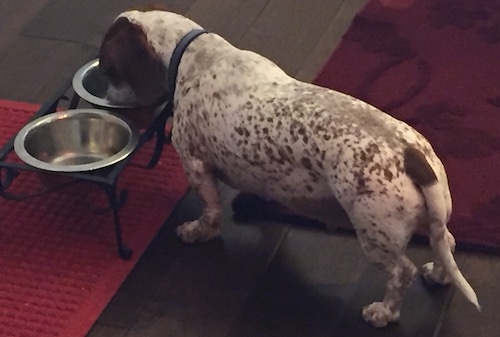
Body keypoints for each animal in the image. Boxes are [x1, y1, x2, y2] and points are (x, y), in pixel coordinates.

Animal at [98, 9, 480, 326]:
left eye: (107, 69)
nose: (108, 99)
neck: (196, 56)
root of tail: (410, 154)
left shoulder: (194, 165)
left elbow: (210, 211)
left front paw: (198, 232)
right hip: (433, 218)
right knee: (447, 242)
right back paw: (439, 275)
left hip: (376, 236)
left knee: (402, 273)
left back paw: (384, 312)